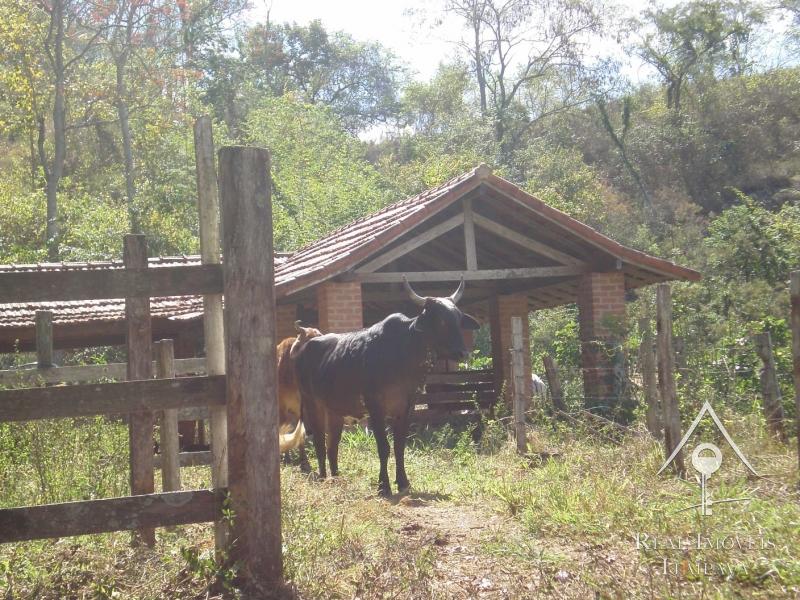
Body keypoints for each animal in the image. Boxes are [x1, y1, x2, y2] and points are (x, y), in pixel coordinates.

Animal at [296, 278, 478, 494]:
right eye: (441, 320)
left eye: (458, 319)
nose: (462, 353)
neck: (404, 353)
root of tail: (305, 348)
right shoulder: (375, 407)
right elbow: (384, 447)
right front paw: (384, 485)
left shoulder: (407, 407)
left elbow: (399, 446)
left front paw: (403, 482)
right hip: (311, 403)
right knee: (319, 442)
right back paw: (324, 477)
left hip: (334, 410)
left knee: (332, 444)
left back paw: (337, 478)